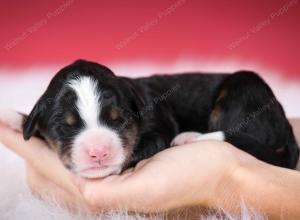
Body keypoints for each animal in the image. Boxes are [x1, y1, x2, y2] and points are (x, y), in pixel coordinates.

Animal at [1, 59, 298, 178]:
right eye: (65, 126)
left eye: (118, 120)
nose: (99, 152)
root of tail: (285, 126)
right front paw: (11, 117)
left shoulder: (160, 125)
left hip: (243, 90)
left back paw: (190, 138)